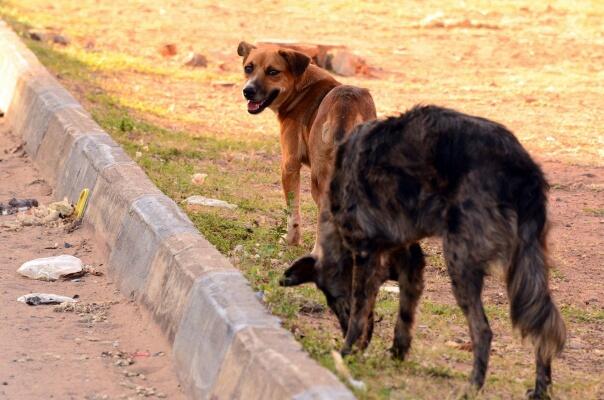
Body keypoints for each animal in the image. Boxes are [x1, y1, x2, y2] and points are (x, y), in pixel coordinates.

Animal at [237, 42, 376, 252]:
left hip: (319, 179)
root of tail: (347, 103)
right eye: (248, 68)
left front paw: (290, 240)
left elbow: (292, 210)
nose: (248, 91)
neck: (300, 89)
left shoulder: (289, 165)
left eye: (273, 71)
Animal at [282, 105, 568, 396]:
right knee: (543, 322)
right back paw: (540, 388)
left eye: (335, 300)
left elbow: (360, 316)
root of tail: (520, 166)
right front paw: (397, 353)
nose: (358, 347)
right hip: (526, 267)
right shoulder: (410, 262)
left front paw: (346, 353)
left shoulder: (365, 257)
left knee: (484, 331)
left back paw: (473, 387)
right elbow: (405, 314)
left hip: (460, 262)